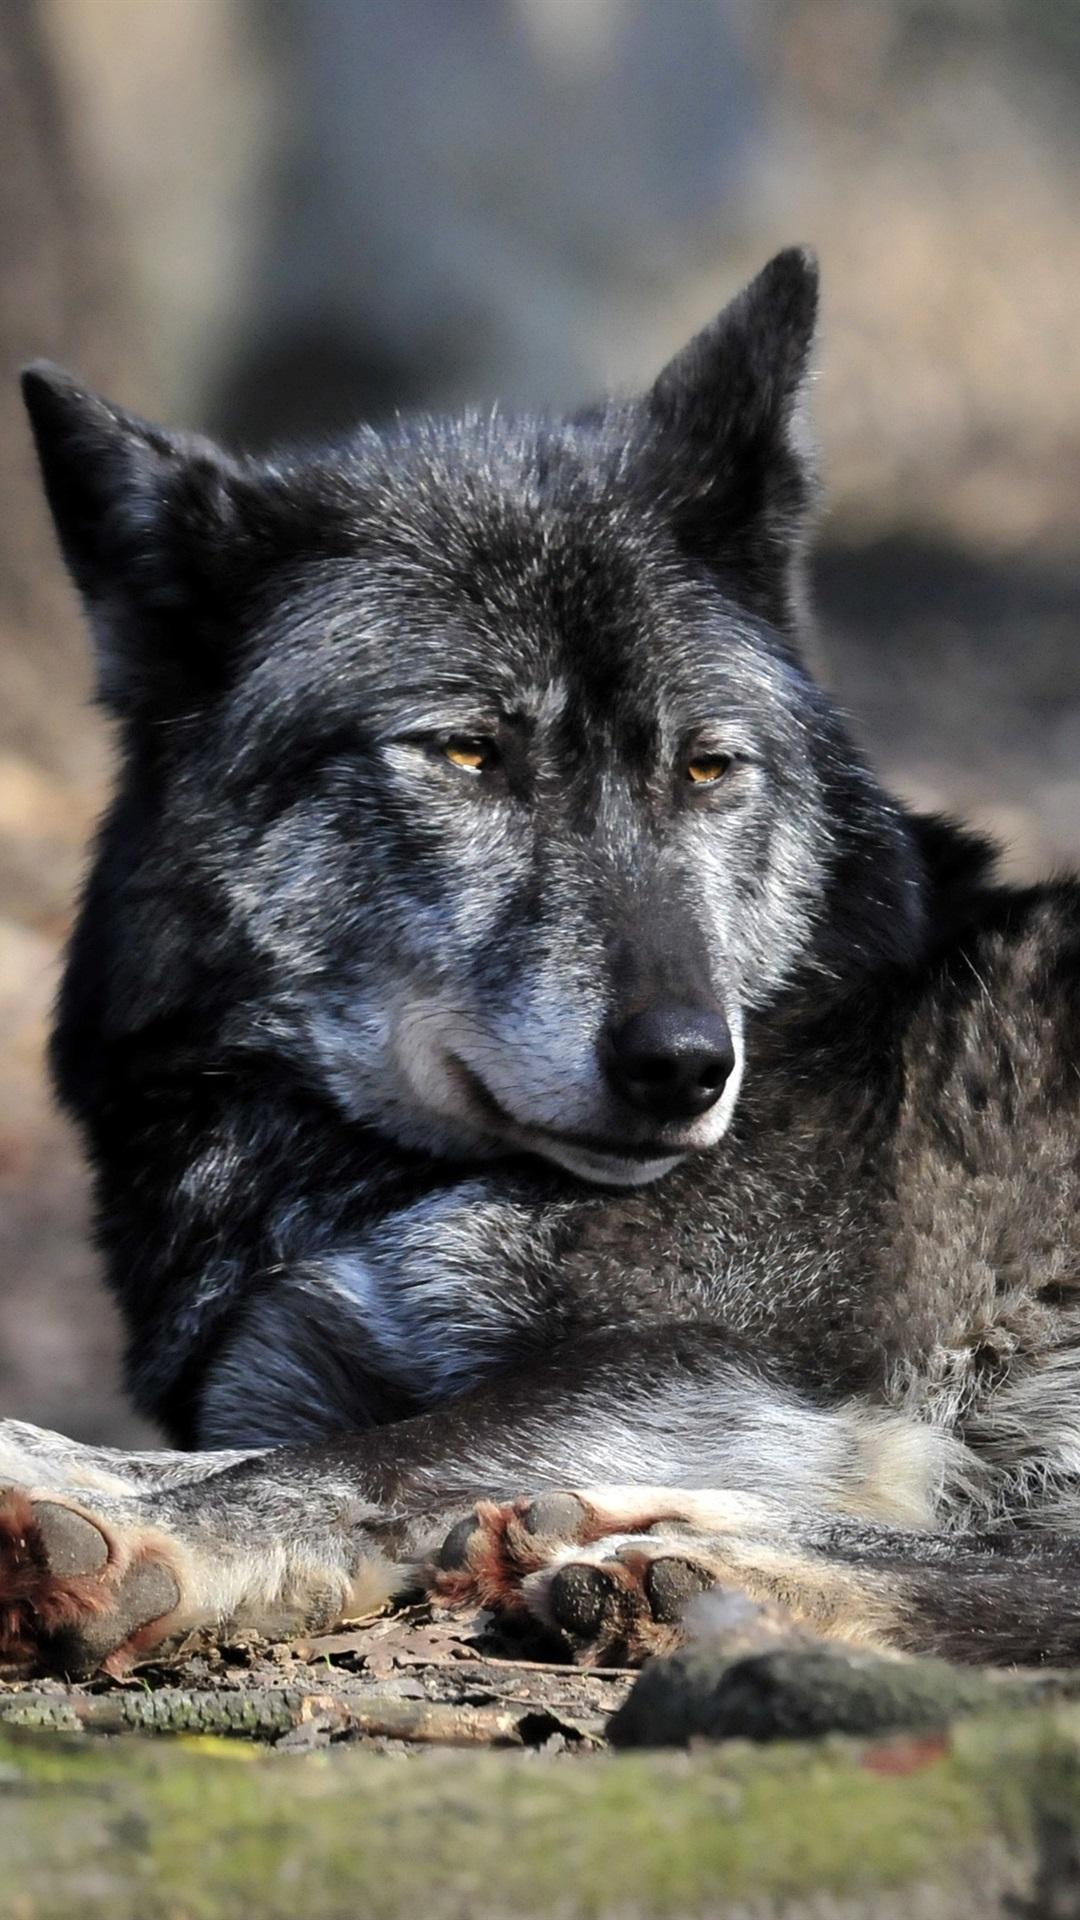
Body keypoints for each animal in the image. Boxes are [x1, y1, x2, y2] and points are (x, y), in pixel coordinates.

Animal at [5, 247, 1080, 1679]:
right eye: (469, 753)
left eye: (706, 767)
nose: (685, 1066)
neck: (345, 1179)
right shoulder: (292, 1369)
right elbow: (206, 1443)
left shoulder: (738, 1361)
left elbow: (364, 1457)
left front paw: (148, 1545)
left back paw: (696, 1576)